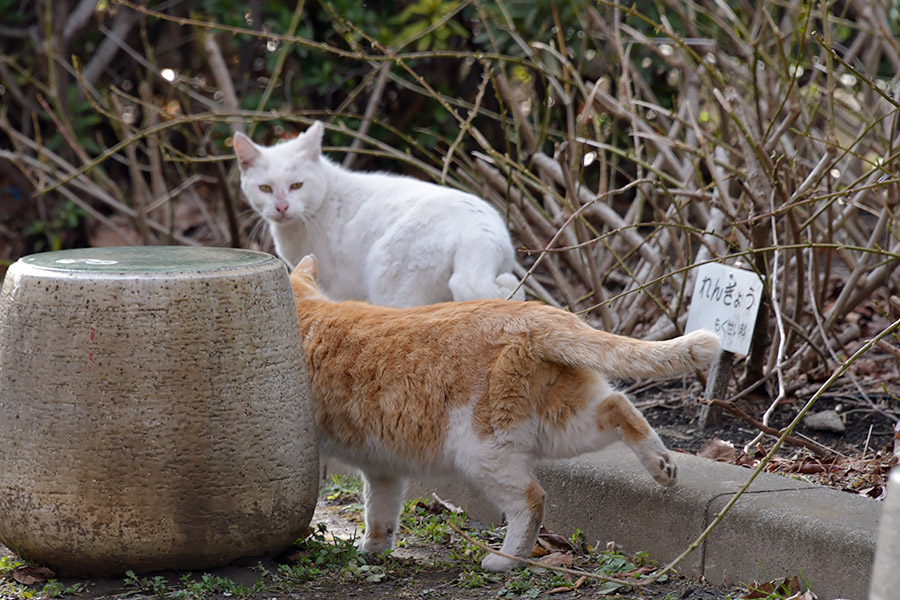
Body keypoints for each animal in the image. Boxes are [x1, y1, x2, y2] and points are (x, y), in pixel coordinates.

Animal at [236, 123, 524, 308]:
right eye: (265, 188)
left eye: (297, 185)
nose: (281, 207)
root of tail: (479, 234)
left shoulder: (335, 286)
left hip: (391, 279)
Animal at [288, 254, 716, 572]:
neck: (307, 314)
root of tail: (538, 313)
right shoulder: (383, 467)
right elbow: (379, 511)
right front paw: (373, 551)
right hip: (562, 423)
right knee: (619, 405)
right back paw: (662, 466)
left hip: (482, 450)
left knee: (532, 499)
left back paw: (506, 560)